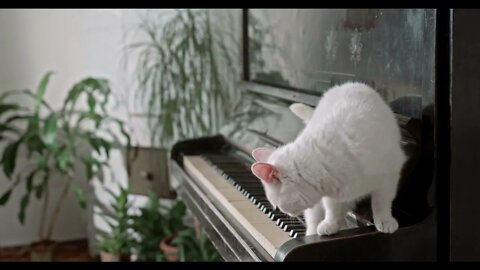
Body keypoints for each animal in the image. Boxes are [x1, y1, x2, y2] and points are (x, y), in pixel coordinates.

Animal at [251, 82, 404, 236]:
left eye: (276, 204)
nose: (282, 212)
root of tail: (345, 85)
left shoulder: (389, 177)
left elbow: (381, 203)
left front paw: (384, 221)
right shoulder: (331, 195)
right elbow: (332, 209)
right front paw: (330, 224)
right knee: (314, 221)